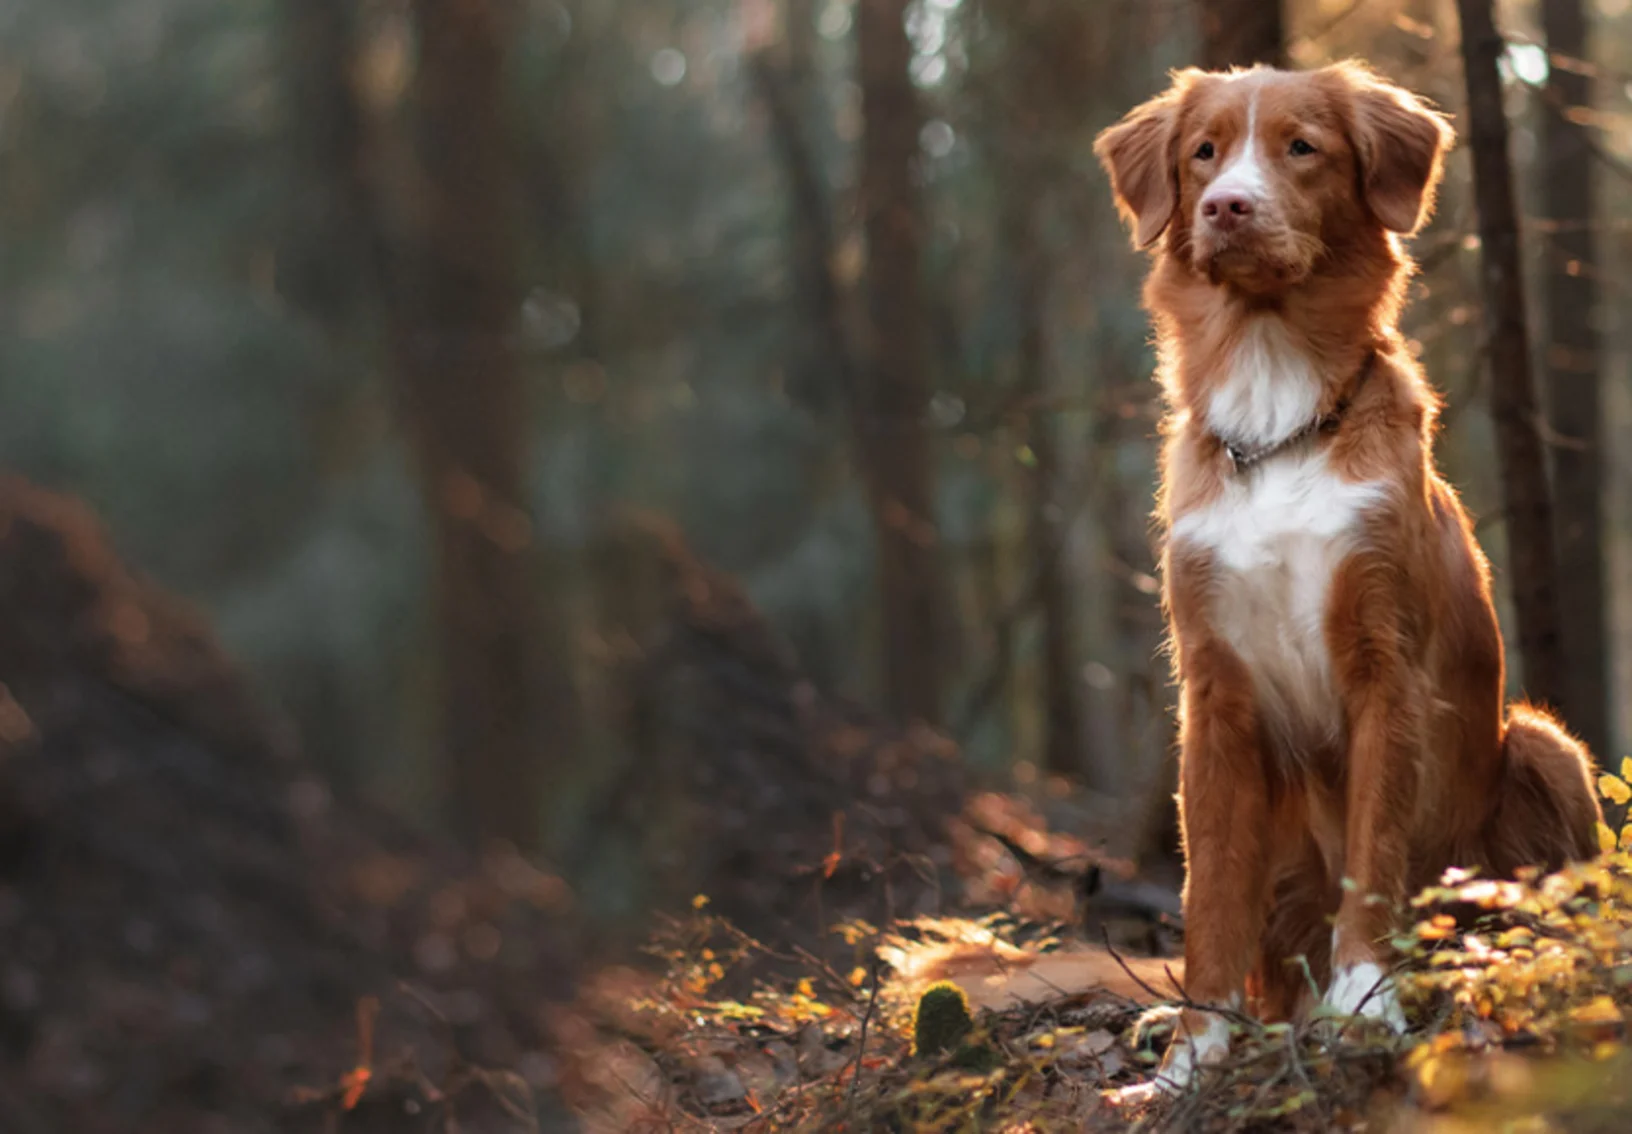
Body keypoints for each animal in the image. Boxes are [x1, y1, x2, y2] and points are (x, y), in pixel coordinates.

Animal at [1090, 62, 1599, 1089]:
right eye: (1202, 152)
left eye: (1302, 148)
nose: (1227, 205)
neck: (1277, 415)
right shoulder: (1213, 694)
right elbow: (1209, 892)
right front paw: (1193, 1053)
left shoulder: (1383, 665)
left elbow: (1374, 856)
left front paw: (1364, 1009)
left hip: (1542, 743)